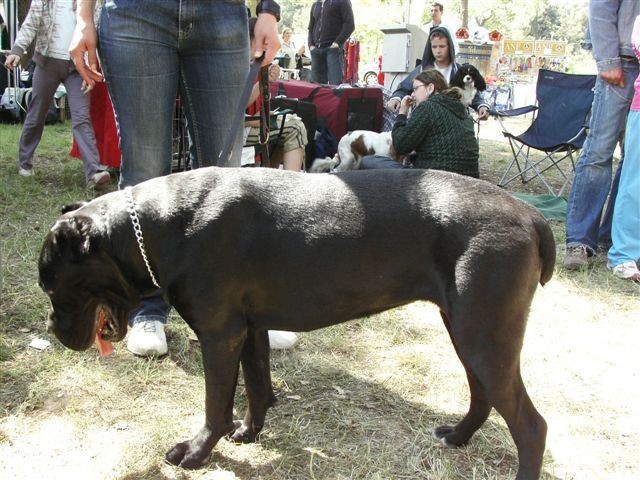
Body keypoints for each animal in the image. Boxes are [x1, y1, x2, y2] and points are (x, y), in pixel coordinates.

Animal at [37, 167, 552, 478]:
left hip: (483, 334)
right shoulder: (249, 328)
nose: (54, 330)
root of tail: (530, 214)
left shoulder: (219, 334)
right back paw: (459, 437)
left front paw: (198, 451)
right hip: (468, 330)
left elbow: (215, 405)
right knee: (483, 395)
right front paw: (249, 432)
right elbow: (258, 385)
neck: (160, 224)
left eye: (51, 285)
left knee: (531, 425)